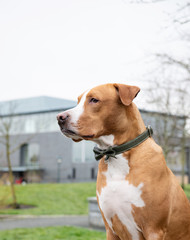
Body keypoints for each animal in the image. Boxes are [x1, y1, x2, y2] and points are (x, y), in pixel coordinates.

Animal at [56, 83, 190, 239]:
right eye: (78, 101)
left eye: (94, 100)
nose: (59, 117)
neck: (116, 155)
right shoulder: (110, 229)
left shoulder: (154, 229)